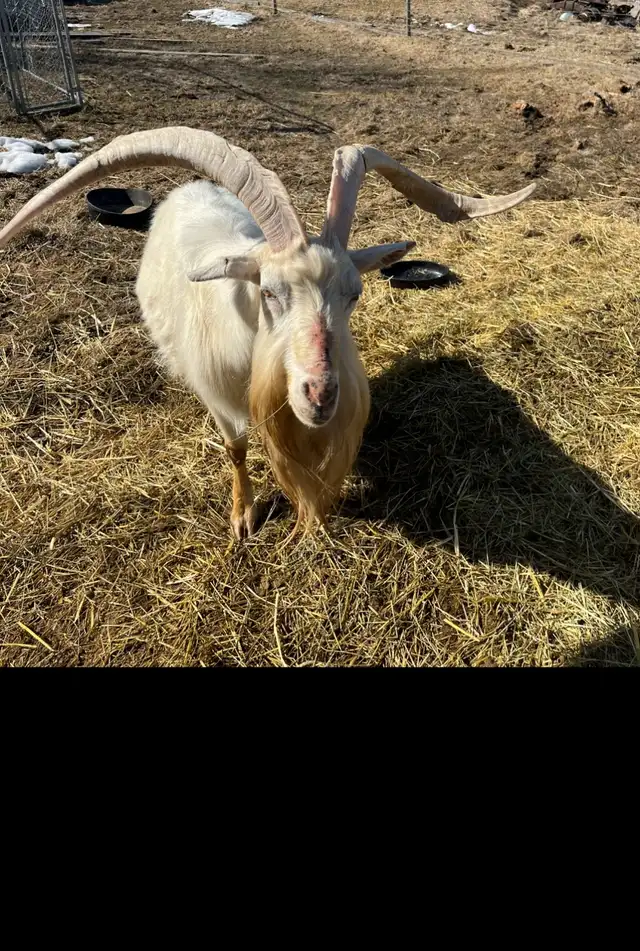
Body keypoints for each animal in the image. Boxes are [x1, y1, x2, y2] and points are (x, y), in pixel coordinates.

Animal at [0, 127, 535, 537]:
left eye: (355, 294)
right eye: (269, 292)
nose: (320, 395)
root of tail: (194, 188)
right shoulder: (218, 395)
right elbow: (236, 449)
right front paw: (243, 517)